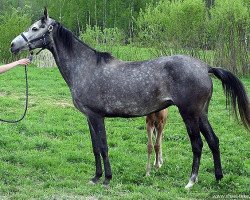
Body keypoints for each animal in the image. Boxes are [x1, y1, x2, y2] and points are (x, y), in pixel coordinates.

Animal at [10, 8, 249, 189]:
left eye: (35, 28)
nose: (13, 45)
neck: (85, 67)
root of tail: (205, 67)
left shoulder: (97, 117)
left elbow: (103, 147)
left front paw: (107, 179)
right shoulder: (89, 118)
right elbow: (95, 147)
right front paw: (96, 177)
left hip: (189, 114)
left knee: (198, 144)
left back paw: (191, 182)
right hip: (202, 114)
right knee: (214, 141)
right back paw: (218, 178)